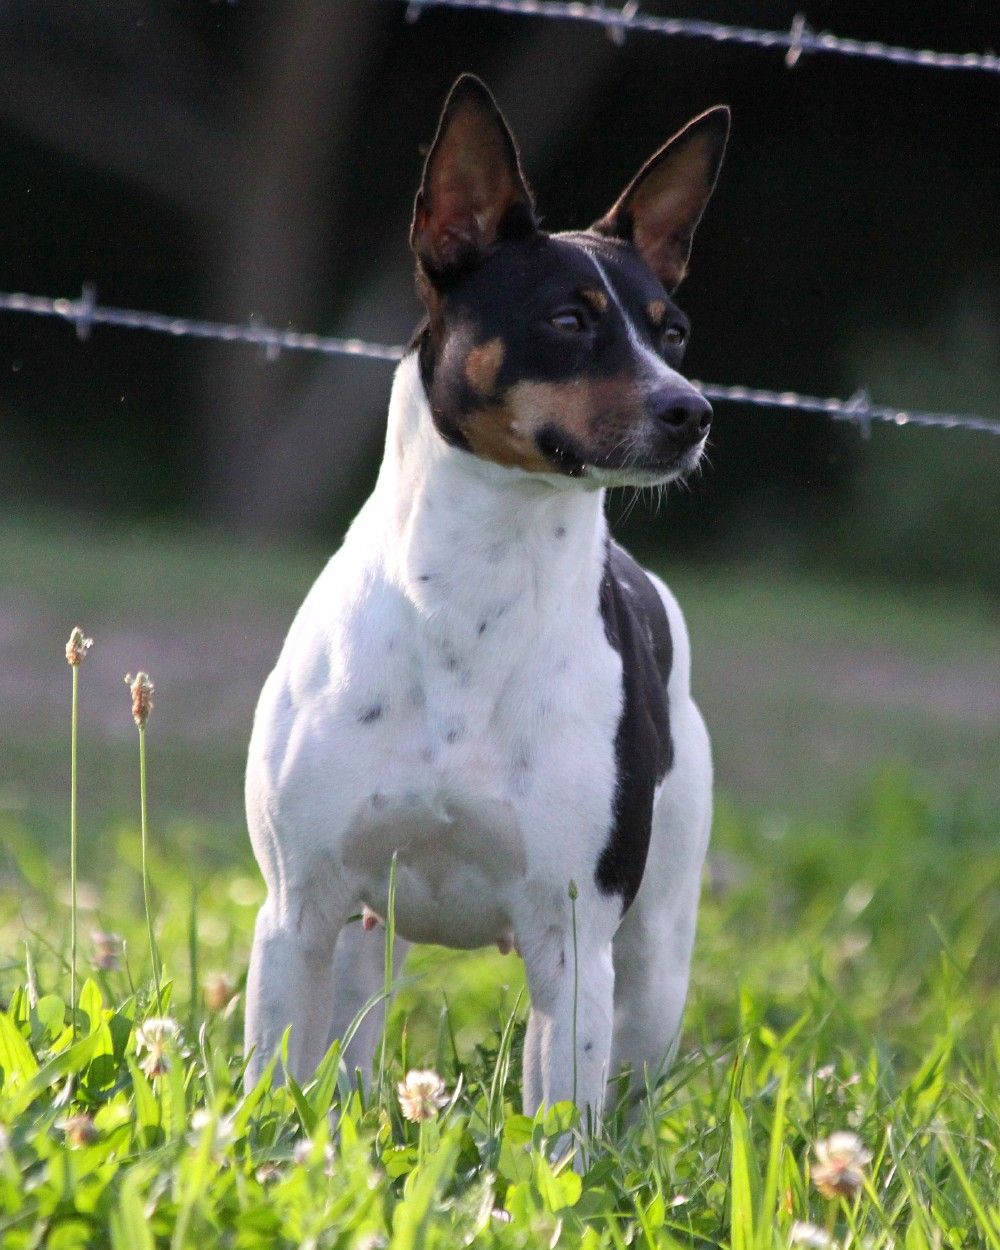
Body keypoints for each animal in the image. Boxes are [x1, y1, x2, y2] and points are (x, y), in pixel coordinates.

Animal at [242, 73, 725, 1120]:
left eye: (672, 331)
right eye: (568, 321)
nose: (692, 410)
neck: (473, 596)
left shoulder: (573, 944)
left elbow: (562, 1134)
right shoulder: (297, 914)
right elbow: (269, 1096)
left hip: (653, 965)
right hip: (362, 942)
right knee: (347, 1053)